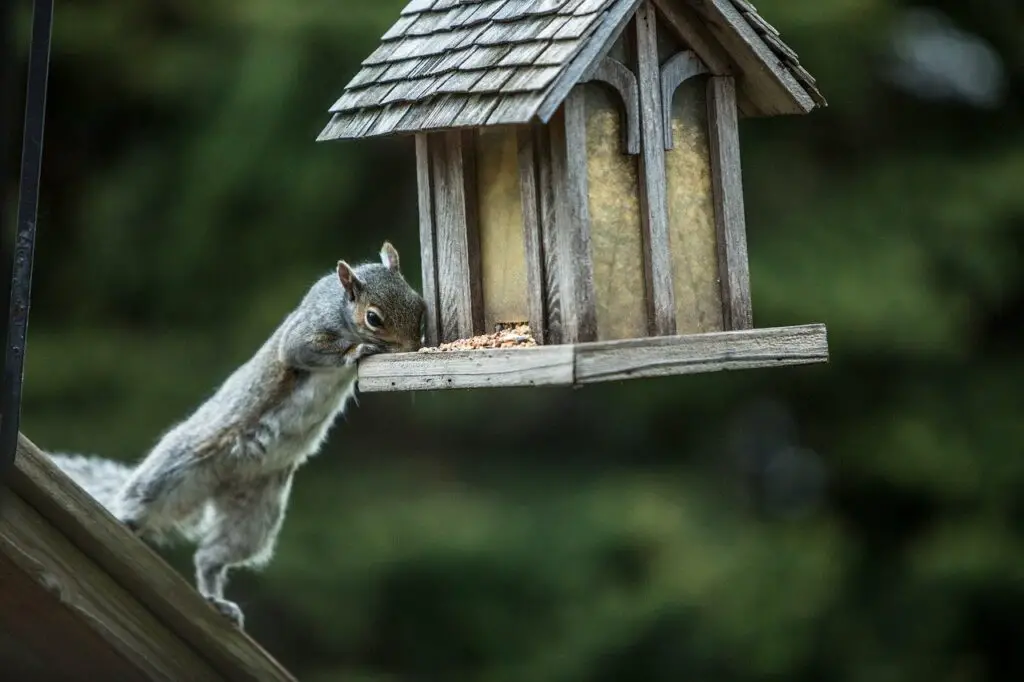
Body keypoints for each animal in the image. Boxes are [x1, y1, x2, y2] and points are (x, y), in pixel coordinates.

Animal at [47, 241, 423, 630]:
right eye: (374, 318)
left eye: (421, 305)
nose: (413, 346)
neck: (341, 307)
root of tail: (223, 480)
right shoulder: (306, 331)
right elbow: (301, 350)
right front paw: (359, 350)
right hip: (177, 468)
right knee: (139, 500)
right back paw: (124, 519)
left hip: (255, 515)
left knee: (210, 557)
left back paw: (216, 600)